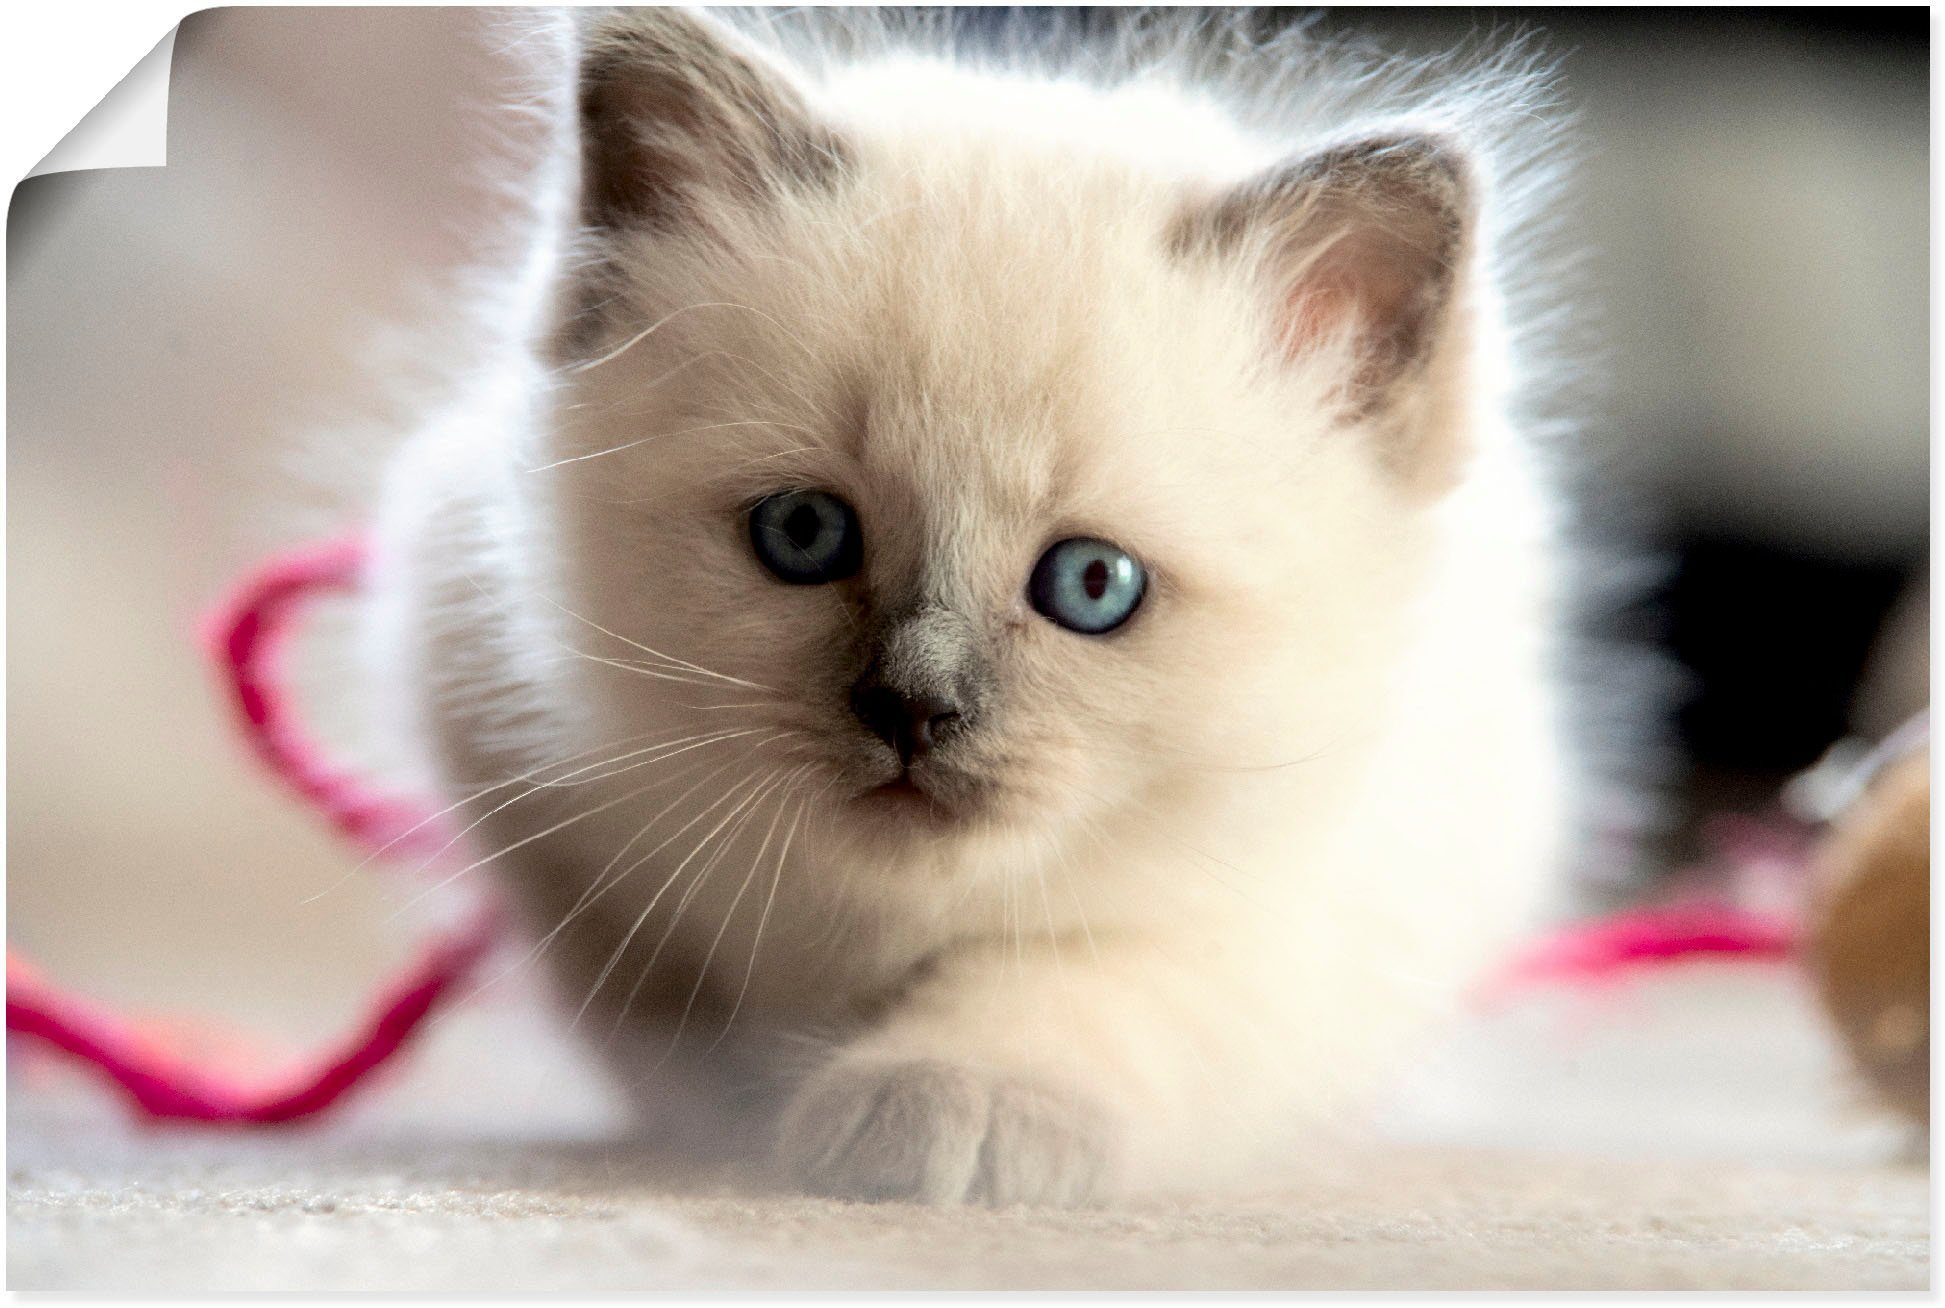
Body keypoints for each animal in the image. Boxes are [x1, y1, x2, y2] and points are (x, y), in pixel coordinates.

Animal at [367, 7, 1579, 1206]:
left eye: (1092, 585)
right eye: (803, 534)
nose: (913, 709)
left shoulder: (1308, 910)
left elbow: (1077, 976)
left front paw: (946, 1101)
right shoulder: (539, 814)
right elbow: (674, 1026)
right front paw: (745, 1118)